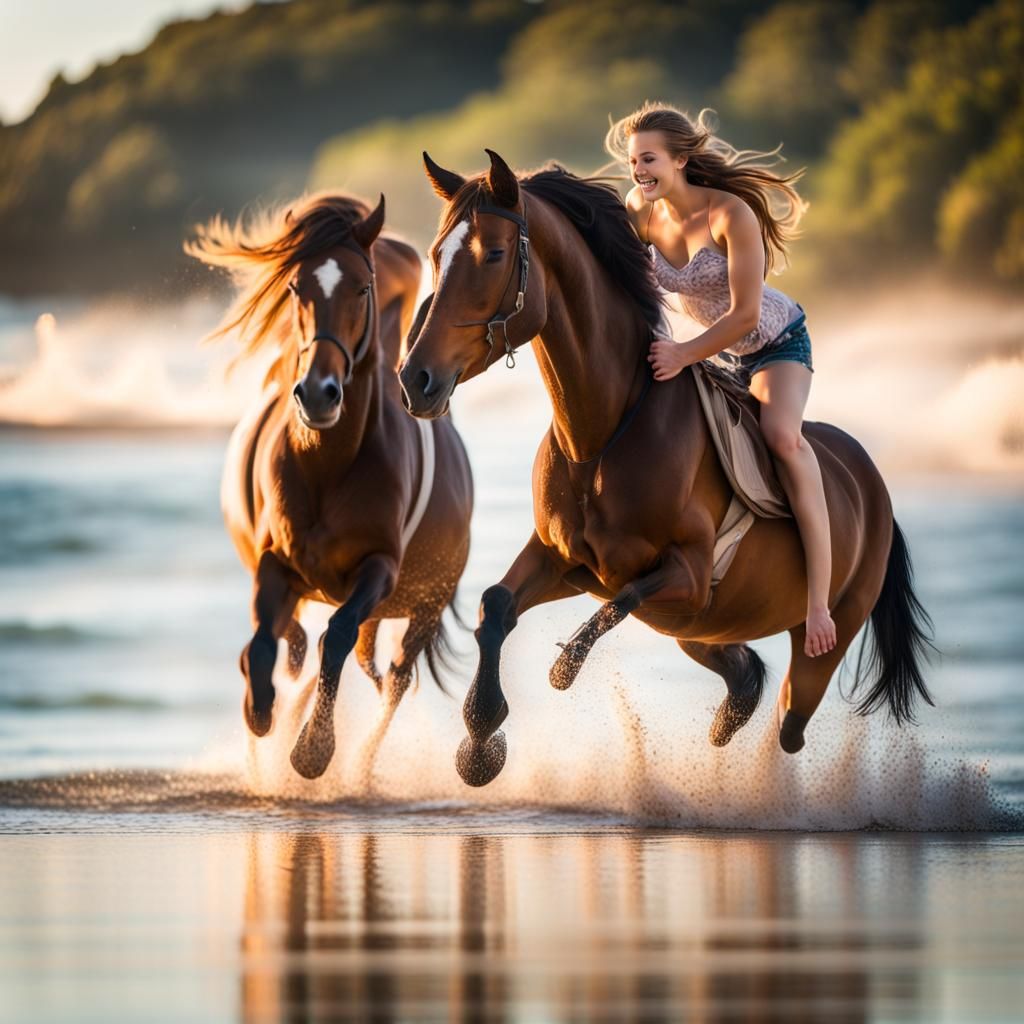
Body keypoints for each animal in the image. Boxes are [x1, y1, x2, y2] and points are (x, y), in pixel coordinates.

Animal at [187, 192, 473, 780]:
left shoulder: (379, 568)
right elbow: (263, 643)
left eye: (362, 288)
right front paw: (262, 714)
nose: (319, 393)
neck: (327, 463)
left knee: (394, 677)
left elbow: (335, 635)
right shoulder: (276, 562)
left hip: (423, 607)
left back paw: (359, 765)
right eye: (297, 288)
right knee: (325, 653)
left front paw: (312, 750)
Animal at [398, 150, 933, 788]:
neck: (600, 437)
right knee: (746, 678)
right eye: (437, 255)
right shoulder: (563, 560)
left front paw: (561, 673)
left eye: (494, 254)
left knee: (789, 724)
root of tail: (876, 490)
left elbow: (618, 602)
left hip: (817, 637)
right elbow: (496, 605)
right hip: (697, 628)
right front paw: (480, 741)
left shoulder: (689, 575)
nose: (416, 380)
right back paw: (729, 717)